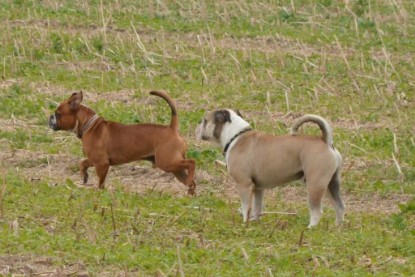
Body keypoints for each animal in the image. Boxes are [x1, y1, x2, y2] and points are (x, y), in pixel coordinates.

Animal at [49, 90, 197, 194]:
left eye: (58, 114)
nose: (50, 118)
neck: (89, 125)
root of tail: (171, 128)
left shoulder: (102, 164)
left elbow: (101, 182)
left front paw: (100, 193)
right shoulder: (94, 160)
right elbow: (82, 163)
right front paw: (84, 176)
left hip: (167, 162)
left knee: (191, 162)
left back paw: (190, 182)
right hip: (174, 167)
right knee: (191, 181)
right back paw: (190, 193)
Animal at [197, 109, 346, 227]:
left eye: (205, 120)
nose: (198, 124)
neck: (235, 136)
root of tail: (325, 140)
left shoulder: (244, 184)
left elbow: (246, 207)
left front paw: (245, 223)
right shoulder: (257, 188)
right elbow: (257, 207)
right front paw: (255, 222)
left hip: (315, 185)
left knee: (316, 211)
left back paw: (310, 228)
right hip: (331, 184)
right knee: (339, 207)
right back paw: (337, 227)